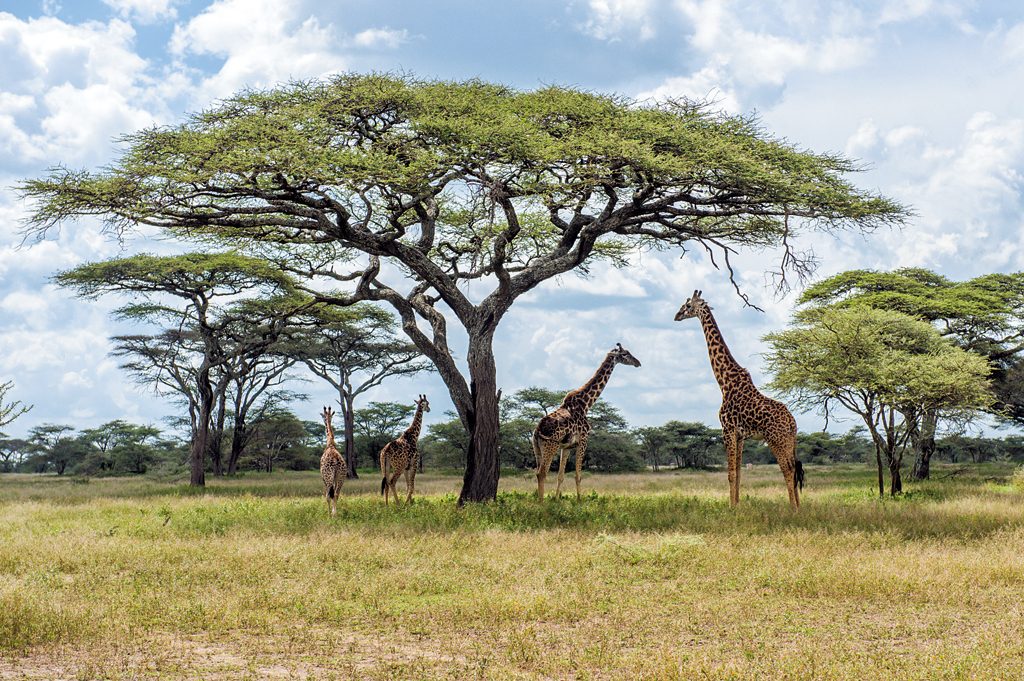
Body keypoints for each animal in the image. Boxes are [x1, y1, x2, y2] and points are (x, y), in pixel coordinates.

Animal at [532, 343, 642, 500]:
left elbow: (561, 476)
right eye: (625, 354)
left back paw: (540, 501)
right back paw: (541, 503)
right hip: (550, 446)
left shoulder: (567, 446)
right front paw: (579, 500)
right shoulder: (583, 440)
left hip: (537, 447)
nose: (638, 363)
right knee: (542, 473)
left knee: (537, 473)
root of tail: (538, 430)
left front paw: (556, 499)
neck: (586, 404)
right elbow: (578, 475)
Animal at [674, 290, 800, 508]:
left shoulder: (727, 429)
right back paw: (800, 506)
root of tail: (792, 423)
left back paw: (793, 509)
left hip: (776, 439)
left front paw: (731, 507)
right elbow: (740, 474)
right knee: (796, 469)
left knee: (788, 469)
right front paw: (738, 505)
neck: (724, 382)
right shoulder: (741, 435)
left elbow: (731, 474)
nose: (677, 315)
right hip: (790, 441)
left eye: (688, 306)